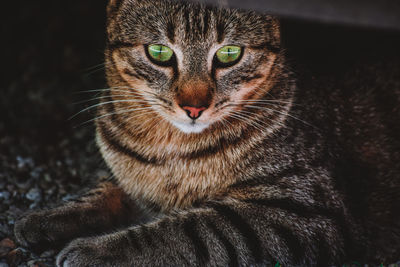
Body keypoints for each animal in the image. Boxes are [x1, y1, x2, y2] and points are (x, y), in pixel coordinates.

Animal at [12, 0, 400, 266]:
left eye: (229, 53)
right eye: (159, 52)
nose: (194, 107)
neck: (167, 148)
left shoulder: (302, 209)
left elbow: (187, 231)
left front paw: (96, 250)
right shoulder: (126, 176)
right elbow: (104, 189)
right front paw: (44, 218)